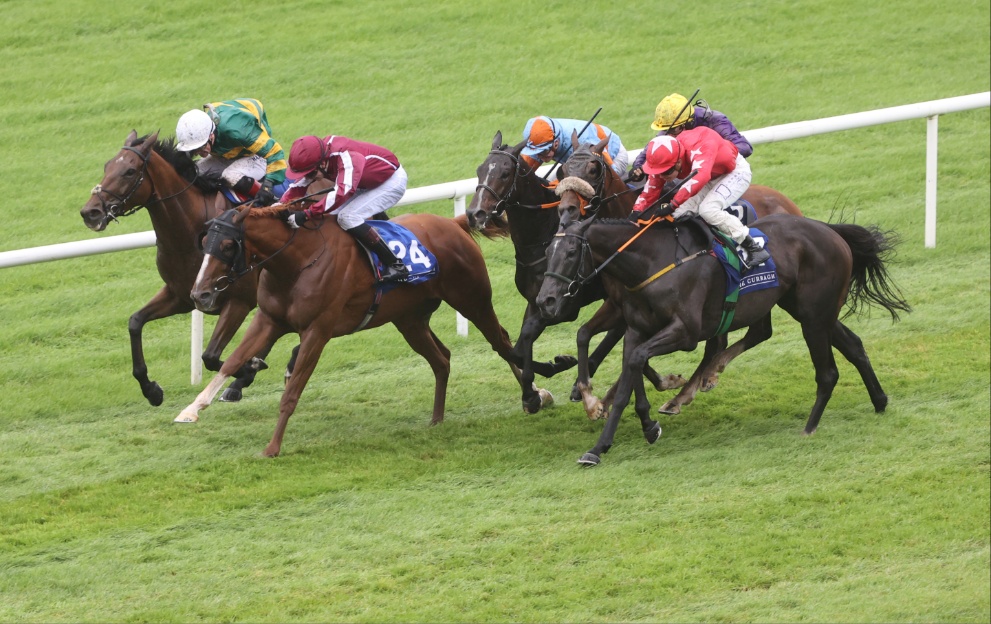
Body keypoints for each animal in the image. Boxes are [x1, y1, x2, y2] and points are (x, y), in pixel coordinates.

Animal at [174, 207, 540, 456]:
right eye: (205, 243)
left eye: (227, 246)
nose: (199, 294)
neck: (298, 261)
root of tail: (452, 224)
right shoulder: (268, 320)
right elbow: (231, 361)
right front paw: (191, 410)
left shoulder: (317, 330)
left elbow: (291, 391)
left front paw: (272, 447)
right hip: (409, 319)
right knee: (442, 359)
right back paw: (437, 419)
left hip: (472, 299)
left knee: (502, 343)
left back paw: (534, 396)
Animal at [464, 132, 680, 414]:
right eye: (479, 171)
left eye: (505, 172)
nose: (475, 213)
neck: (541, 238)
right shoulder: (536, 301)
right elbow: (517, 350)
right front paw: (533, 392)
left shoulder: (565, 307)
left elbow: (528, 339)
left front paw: (559, 368)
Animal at [540, 212, 912, 466]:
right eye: (548, 251)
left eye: (571, 252)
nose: (546, 300)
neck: (650, 263)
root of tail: (829, 230)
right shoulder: (636, 329)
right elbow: (629, 373)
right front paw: (613, 439)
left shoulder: (686, 332)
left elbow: (635, 363)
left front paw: (619, 423)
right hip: (812, 311)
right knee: (853, 345)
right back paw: (879, 400)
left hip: (813, 316)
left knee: (827, 372)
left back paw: (809, 427)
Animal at [560, 136, 808, 420]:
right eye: (563, 170)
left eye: (593, 169)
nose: (567, 210)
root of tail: (788, 203)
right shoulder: (618, 304)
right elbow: (584, 334)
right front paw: (595, 398)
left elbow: (633, 354)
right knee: (742, 334)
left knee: (736, 337)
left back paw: (690, 388)